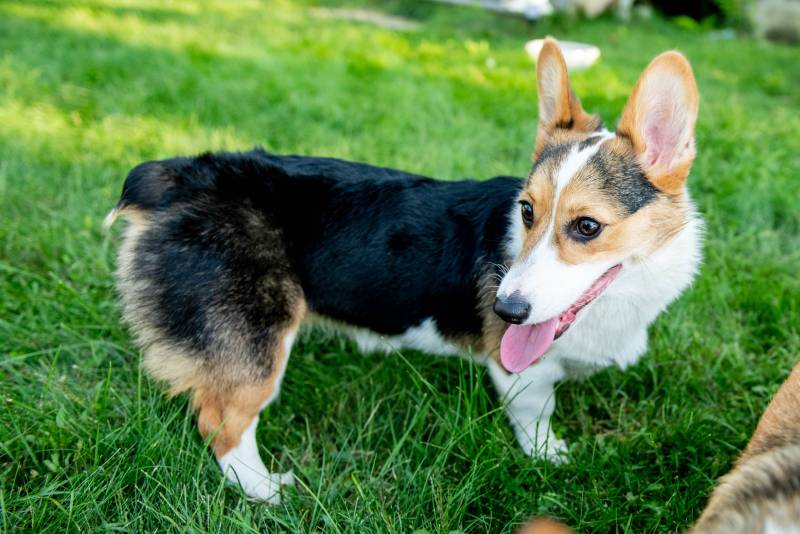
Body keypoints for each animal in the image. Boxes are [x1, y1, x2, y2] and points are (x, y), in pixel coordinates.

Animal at [104, 39, 700, 504]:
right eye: (527, 211)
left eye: (587, 227)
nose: (505, 310)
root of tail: (176, 177)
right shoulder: (522, 374)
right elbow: (536, 414)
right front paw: (549, 457)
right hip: (257, 344)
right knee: (222, 421)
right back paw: (266, 490)